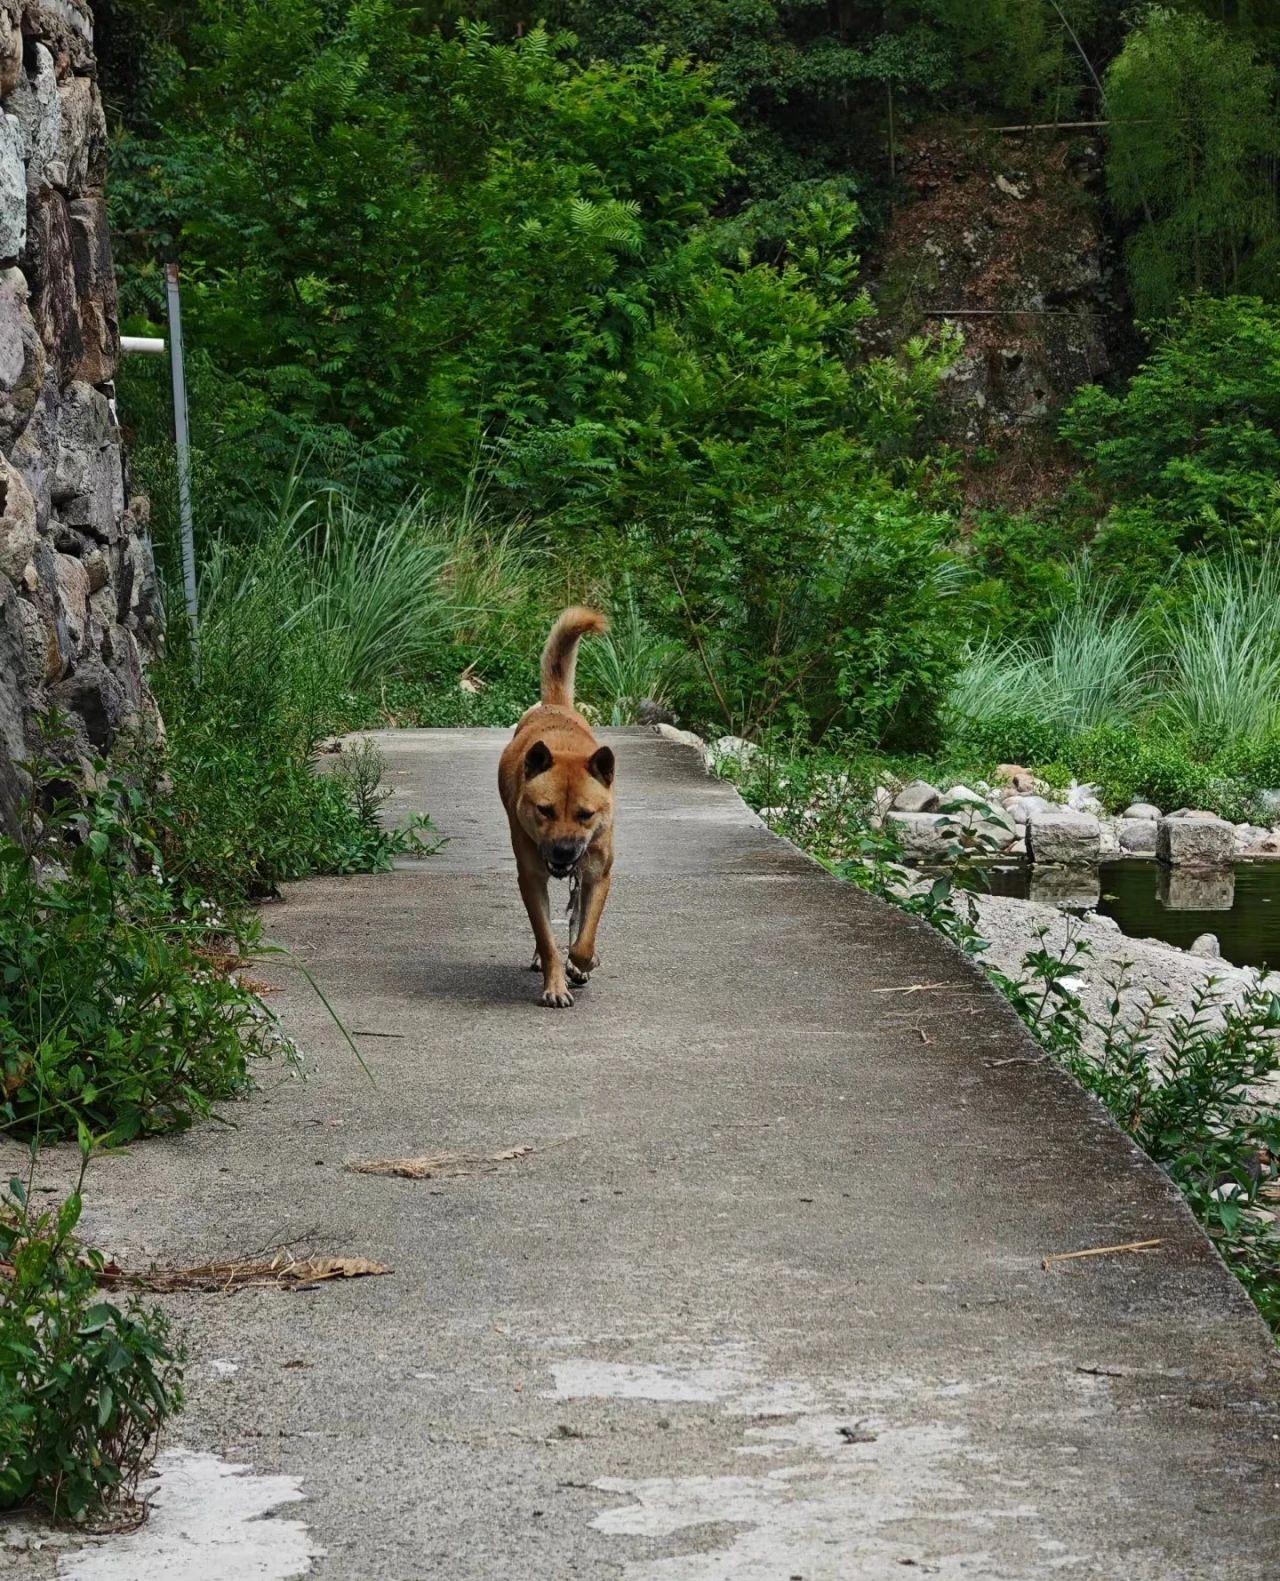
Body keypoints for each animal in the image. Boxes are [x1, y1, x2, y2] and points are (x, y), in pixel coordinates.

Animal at [499, 610, 613, 1005]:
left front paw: (584, 962)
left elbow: (584, 936)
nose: (563, 852)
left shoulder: (597, 873)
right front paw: (555, 986)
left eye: (585, 814)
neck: (564, 750)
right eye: (544, 810)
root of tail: (556, 706)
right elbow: (547, 938)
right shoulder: (531, 878)